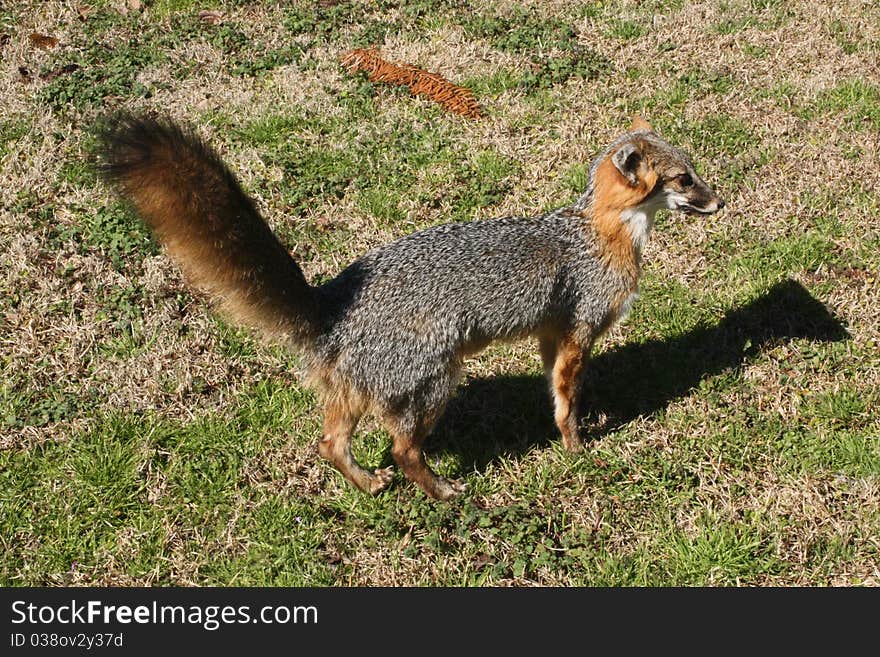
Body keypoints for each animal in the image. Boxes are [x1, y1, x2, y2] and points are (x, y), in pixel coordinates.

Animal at [99, 115, 724, 500]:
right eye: (684, 179)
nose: (721, 200)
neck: (599, 233)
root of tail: (333, 299)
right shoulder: (578, 330)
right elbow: (566, 402)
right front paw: (575, 449)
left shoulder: (552, 333)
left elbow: (557, 395)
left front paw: (575, 426)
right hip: (436, 382)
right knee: (402, 449)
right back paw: (442, 492)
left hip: (357, 393)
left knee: (329, 444)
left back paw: (368, 485)